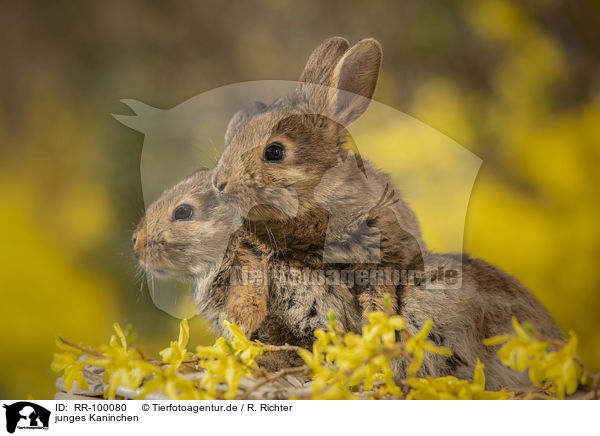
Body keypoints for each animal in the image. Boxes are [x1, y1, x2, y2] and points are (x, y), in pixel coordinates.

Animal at [212, 35, 564, 388]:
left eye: (274, 151)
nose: (219, 184)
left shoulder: (383, 250)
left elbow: (378, 295)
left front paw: (376, 334)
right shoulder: (254, 249)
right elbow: (249, 283)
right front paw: (239, 326)